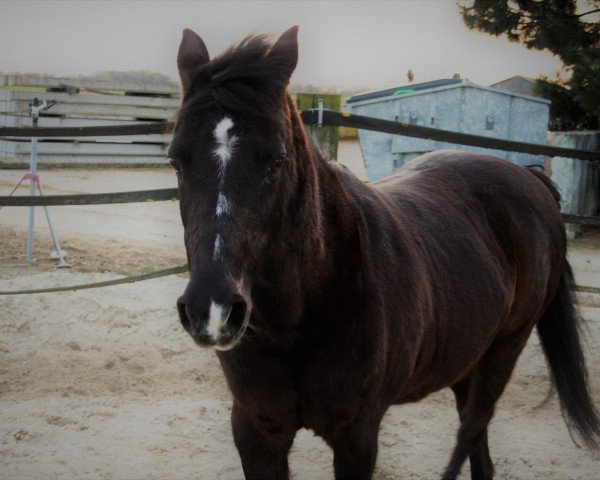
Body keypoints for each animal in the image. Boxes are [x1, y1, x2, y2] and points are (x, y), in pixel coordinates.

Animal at [170, 27, 600, 480]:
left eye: (275, 161)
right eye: (176, 161)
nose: (212, 311)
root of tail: (530, 178)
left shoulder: (357, 436)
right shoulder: (256, 430)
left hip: (505, 349)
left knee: (472, 428)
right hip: (469, 355)